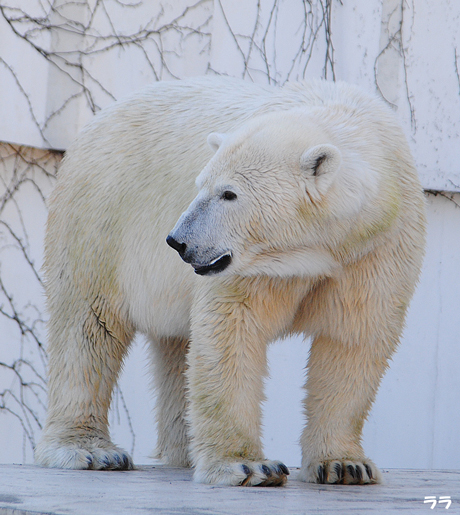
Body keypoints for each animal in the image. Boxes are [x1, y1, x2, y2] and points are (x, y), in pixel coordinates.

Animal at [34, 76, 426, 488]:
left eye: (229, 193)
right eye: (200, 184)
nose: (178, 241)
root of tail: (96, 119)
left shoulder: (376, 249)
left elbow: (352, 339)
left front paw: (345, 464)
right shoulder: (255, 268)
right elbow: (233, 330)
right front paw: (249, 466)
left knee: (175, 346)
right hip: (102, 215)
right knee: (88, 326)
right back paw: (91, 450)